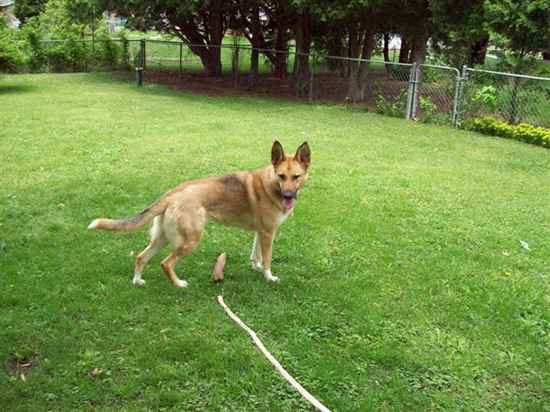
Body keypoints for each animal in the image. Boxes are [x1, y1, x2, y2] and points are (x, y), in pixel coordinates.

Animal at [86, 140, 310, 288]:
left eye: (296, 177)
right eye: (281, 176)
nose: (288, 196)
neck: (271, 184)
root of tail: (171, 194)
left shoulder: (260, 232)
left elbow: (256, 255)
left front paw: (256, 268)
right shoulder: (268, 233)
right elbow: (268, 259)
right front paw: (269, 277)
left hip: (162, 238)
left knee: (141, 257)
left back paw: (137, 281)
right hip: (191, 240)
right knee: (165, 263)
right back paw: (179, 284)